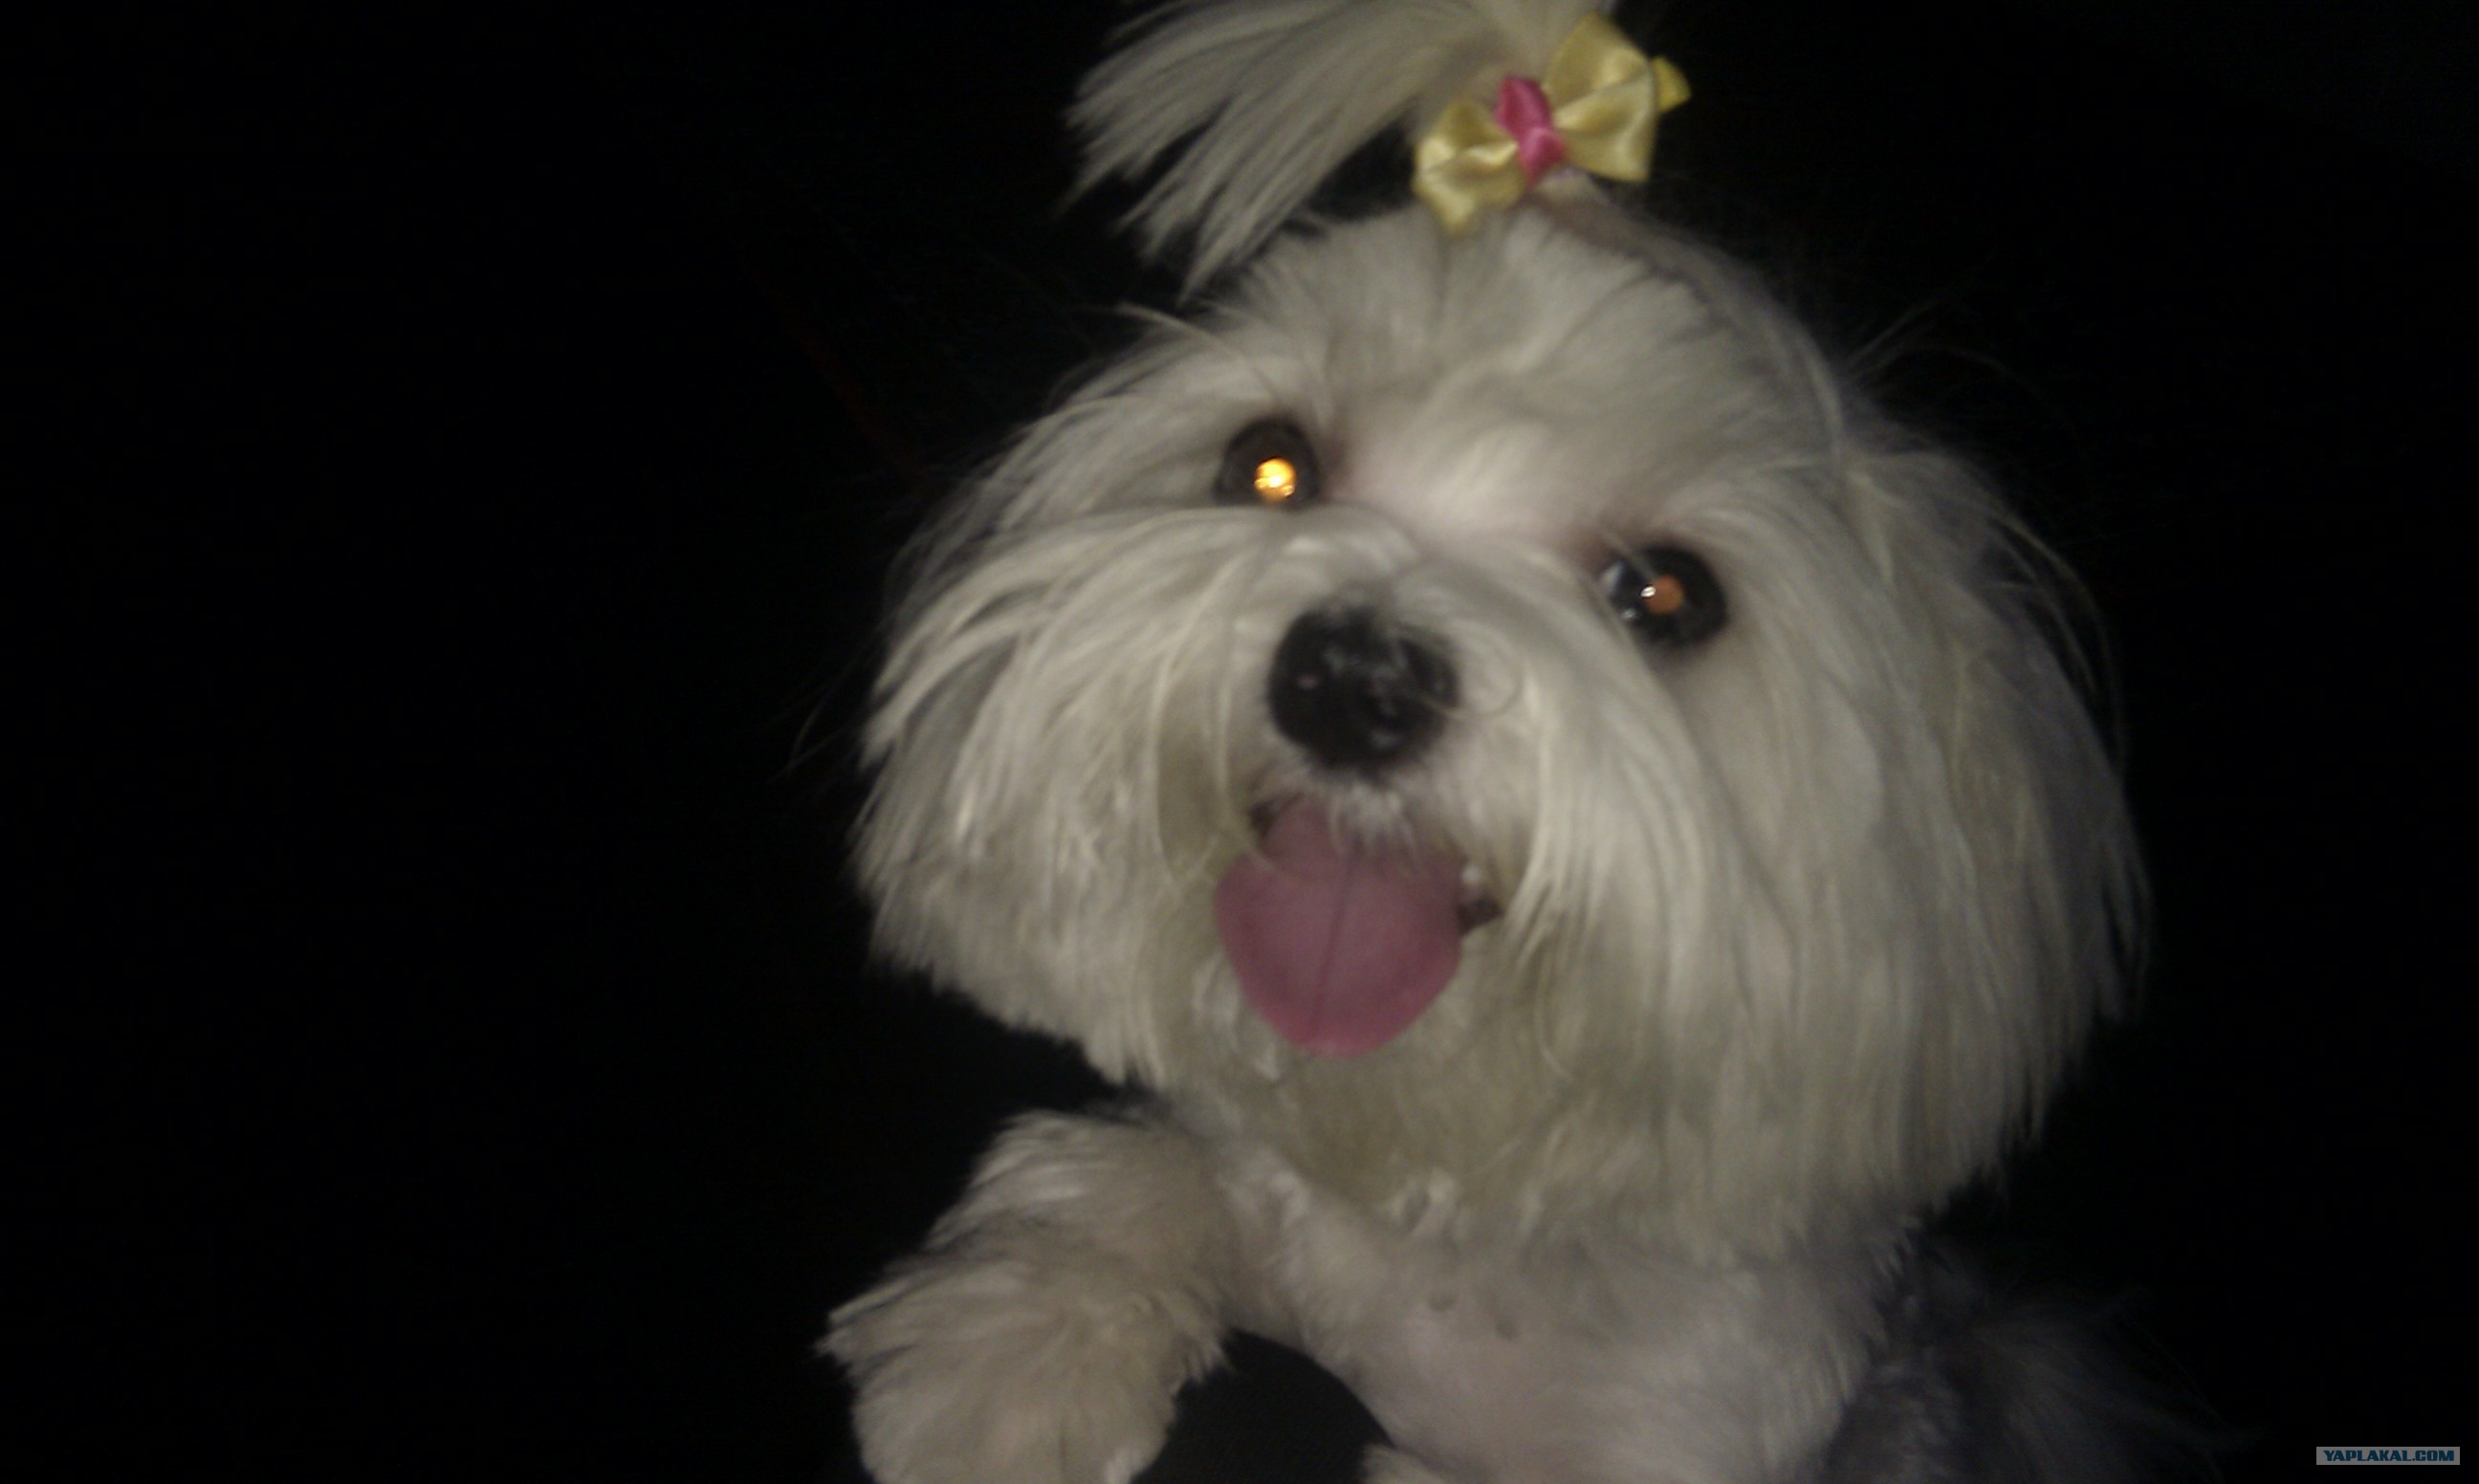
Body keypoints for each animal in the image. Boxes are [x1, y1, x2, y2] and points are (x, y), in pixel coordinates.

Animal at [827, 2, 2157, 1479]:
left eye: (1664, 593)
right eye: (1269, 466)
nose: (1349, 681)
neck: (1456, 1240)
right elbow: (1158, 1176)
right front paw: (1015, 1340)